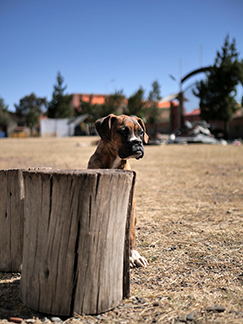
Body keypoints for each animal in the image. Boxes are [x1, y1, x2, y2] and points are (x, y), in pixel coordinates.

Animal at [87, 112, 148, 268]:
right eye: (123, 131)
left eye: (141, 132)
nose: (137, 143)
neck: (115, 160)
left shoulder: (132, 204)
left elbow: (131, 233)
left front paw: (133, 255)